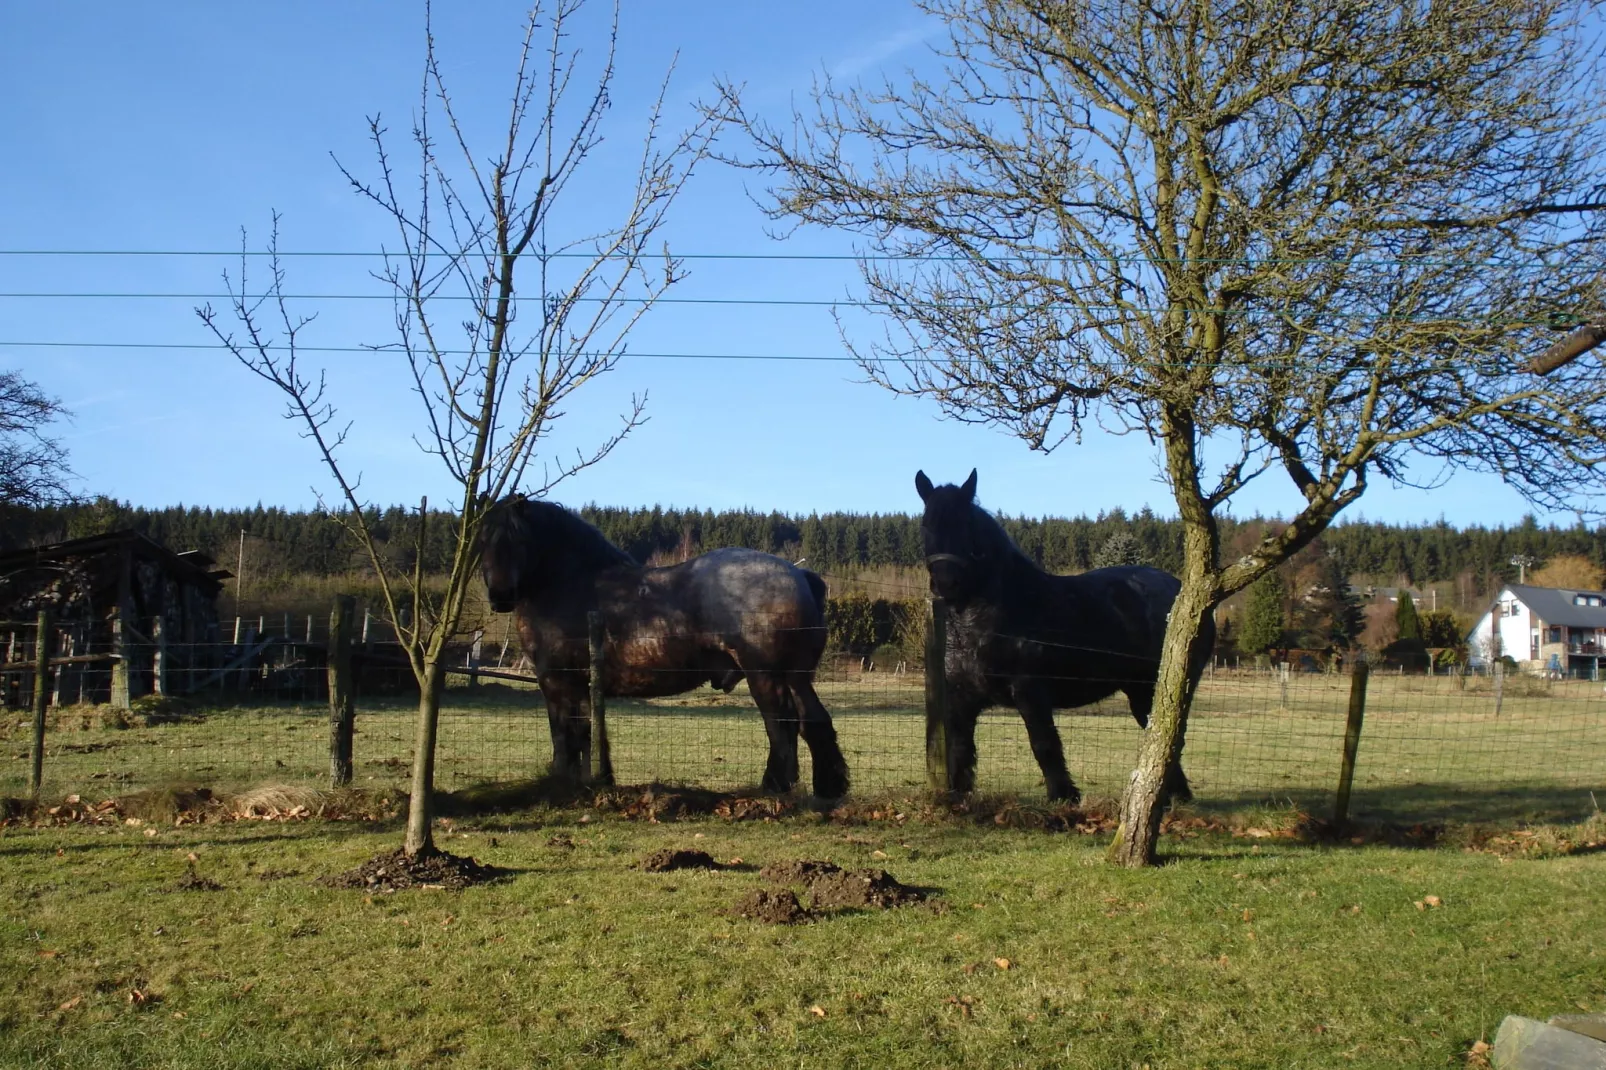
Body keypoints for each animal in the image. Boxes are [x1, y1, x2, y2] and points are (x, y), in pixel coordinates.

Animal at [478, 494, 847, 796]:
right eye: (483, 540)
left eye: (519, 540)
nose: (500, 596)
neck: (572, 584)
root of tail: (799, 576)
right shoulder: (582, 685)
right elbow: (589, 734)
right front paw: (597, 779)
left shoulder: (556, 681)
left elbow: (566, 732)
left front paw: (563, 781)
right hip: (797, 678)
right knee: (813, 722)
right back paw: (829, 787)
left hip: (766, 677)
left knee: (781, 725)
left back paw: (774, 785)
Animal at [918, 465, 1207, 800]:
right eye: (926, 525)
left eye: (966, 526)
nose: (946, 584)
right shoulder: (961, 698)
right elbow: (961, 750)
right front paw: (956, 797)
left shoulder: (1030, 691)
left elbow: (1044, 745)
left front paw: (1063, 795)